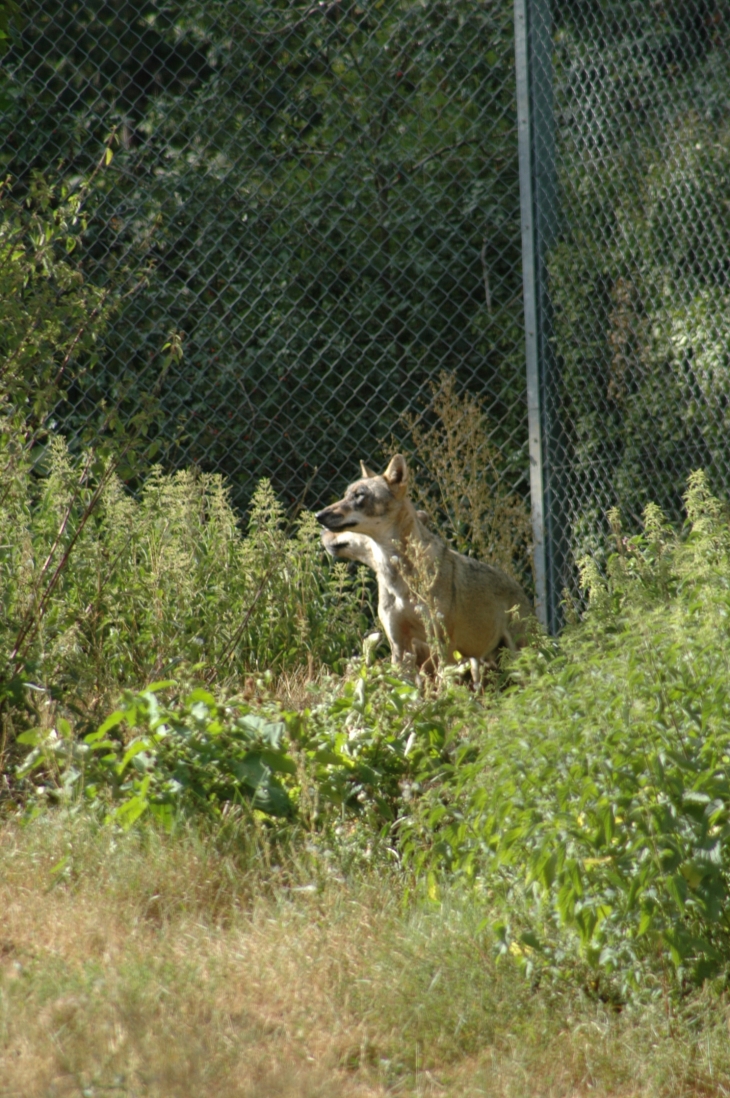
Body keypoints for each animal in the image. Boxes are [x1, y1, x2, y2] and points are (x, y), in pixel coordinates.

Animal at [316, 452, 533, 671]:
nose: (318, 516)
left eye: (359, 496)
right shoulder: (399, 646)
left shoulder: (442, 646)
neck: (399, 576)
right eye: (345, 495)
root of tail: (518, 586)